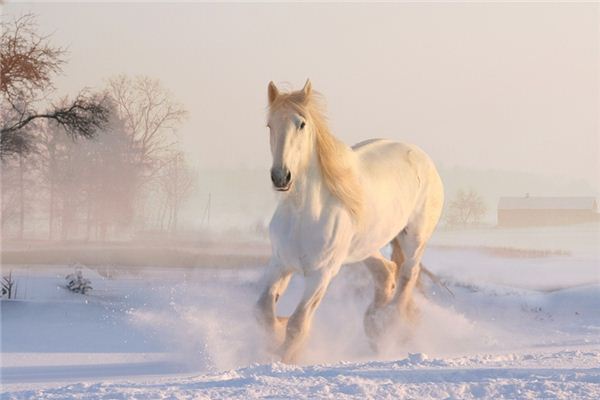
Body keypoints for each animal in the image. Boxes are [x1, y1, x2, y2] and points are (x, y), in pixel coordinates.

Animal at [255, 79, 442, 364]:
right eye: (269, 124)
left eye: (301, 124)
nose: (281, 177)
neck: (302, 214)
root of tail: (422, 157)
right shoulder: (279, 264)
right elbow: (264, 312)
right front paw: (276, 334)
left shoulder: (321, 274)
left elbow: (298, 324)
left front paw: (285, 358)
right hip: (364, 247)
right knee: (386, 272)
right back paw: (374, 325)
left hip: (414, 239)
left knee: (407, 276)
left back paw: (388, 325)